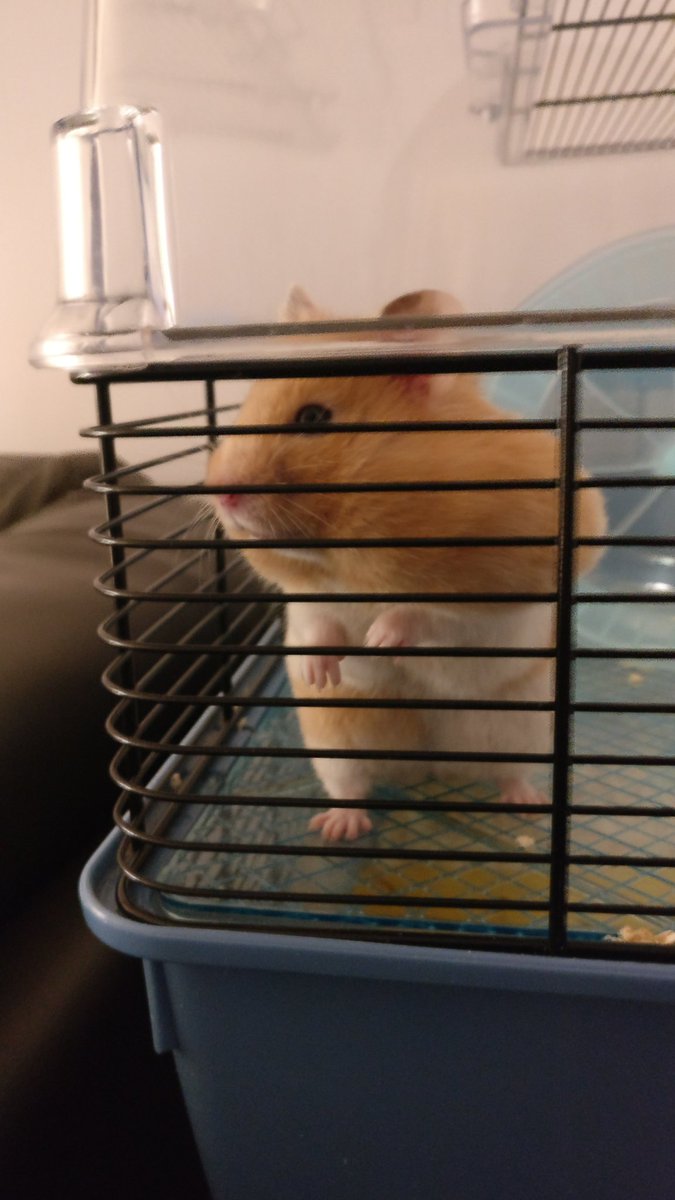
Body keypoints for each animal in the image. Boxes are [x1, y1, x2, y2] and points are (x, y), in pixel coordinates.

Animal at [206, 288, 607, 842]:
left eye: (312, 418)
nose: (219, 494)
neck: (344, 566)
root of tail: (428, 768)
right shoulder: (307, 601)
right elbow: (316, 626)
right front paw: (321, 673)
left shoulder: (496, 593)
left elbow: (428, 613)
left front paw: (380, 638)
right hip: (337, 744)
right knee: (351, 787)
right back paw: (338, 830)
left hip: (521, 733)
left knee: (510, 772)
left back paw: (526, 806)